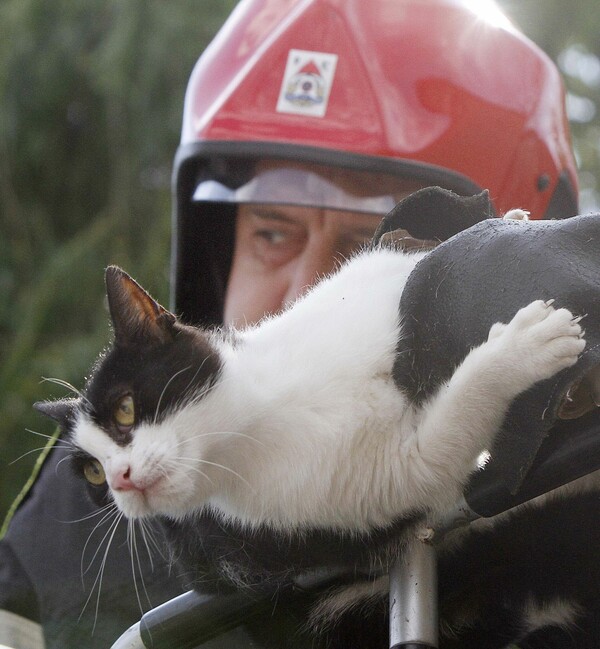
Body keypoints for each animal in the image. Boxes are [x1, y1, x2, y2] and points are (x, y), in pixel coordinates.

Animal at [37, 240, 592, 644]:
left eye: (125, 409)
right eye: (93, 475)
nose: (121, 480)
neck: (264, 413)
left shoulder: (373, 286)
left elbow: (419, 262)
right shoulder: (389, 481)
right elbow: (445, 438)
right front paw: (524, 348)